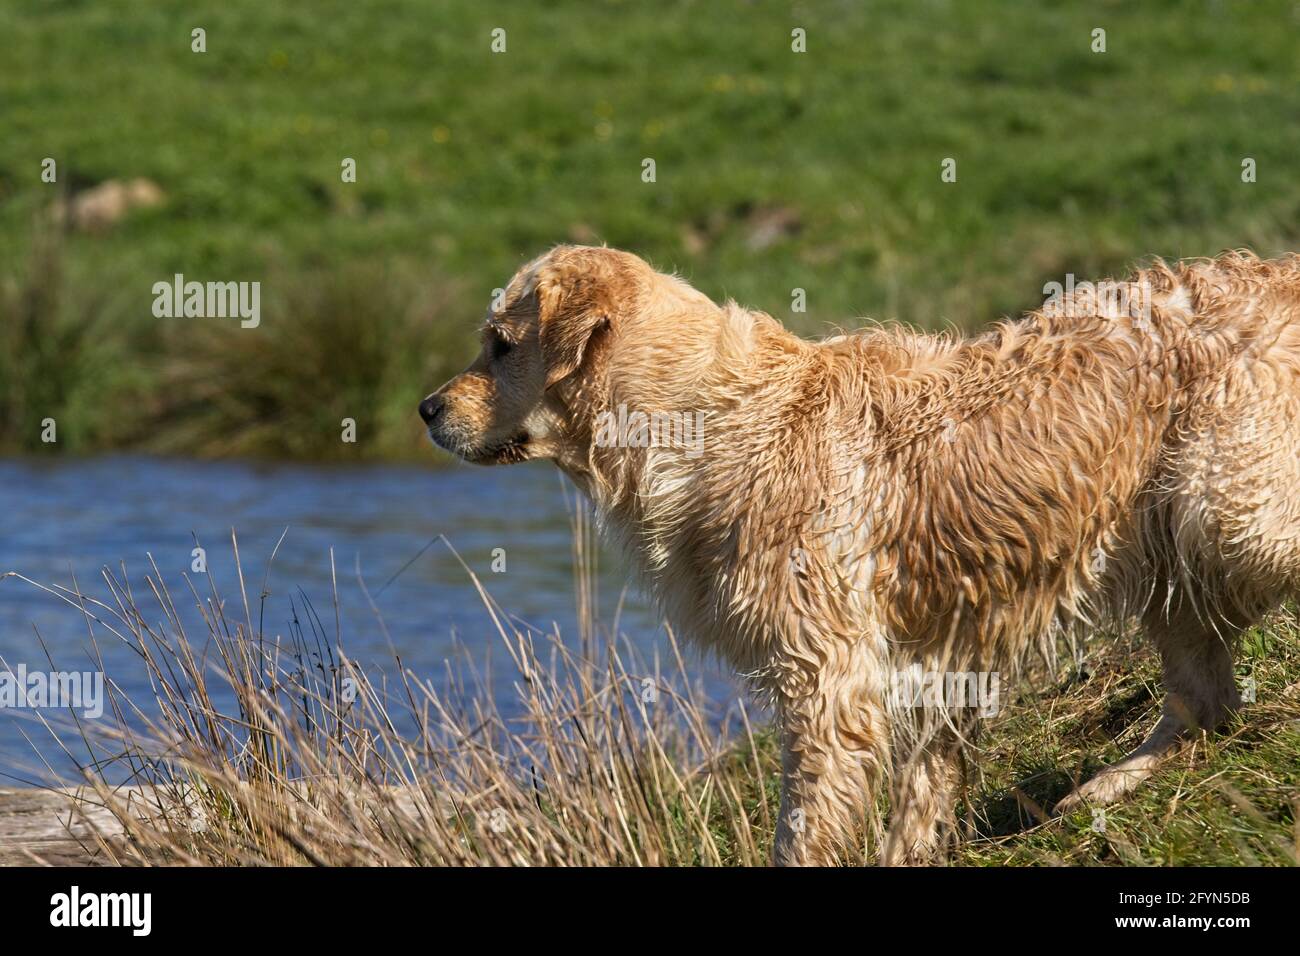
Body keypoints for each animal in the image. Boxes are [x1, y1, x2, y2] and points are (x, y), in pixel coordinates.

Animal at [421, 244, 1300, 868]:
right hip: (1170, 545)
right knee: (1209, 704)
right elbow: (924, 785)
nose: (426, 408)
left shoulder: (827, 678)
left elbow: (805, 826)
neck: (707, 416)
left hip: (1222, 506)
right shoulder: (942, 648)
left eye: (500, 345)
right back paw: (1103, 788)